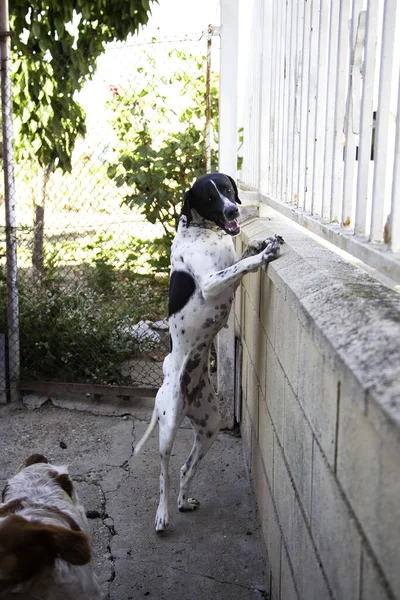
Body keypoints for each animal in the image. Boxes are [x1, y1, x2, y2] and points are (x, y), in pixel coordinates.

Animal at [135, 172, 284, 528]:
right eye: (209, 198)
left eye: (228, 190)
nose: (233, 211)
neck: (204, 230)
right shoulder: (212, 282)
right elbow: (242, 266)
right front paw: (264, 253)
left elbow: (241, 260)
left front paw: (259, 243)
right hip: (168, 427)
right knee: (164, 473)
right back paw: (162, 515)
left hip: (210, 426)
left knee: (185, 468)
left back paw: (183, 503)